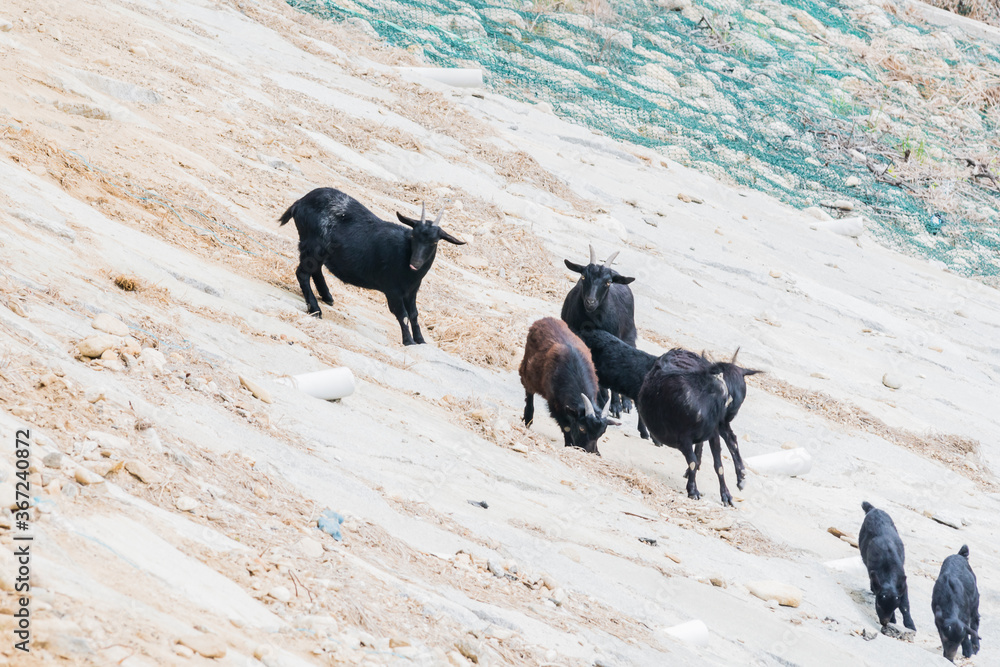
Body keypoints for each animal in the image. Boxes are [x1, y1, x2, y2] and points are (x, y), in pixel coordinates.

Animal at [279, 188, 465, 346]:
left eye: (434, 242)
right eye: (413, 235)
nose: (415, 263)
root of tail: (300, 203)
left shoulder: (411, 291)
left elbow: (414, 314)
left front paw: (420, 340)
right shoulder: (393, 289)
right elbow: (402, 314)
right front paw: (409, 341)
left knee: (315, 271)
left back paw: (327, 297)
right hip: (313, 246)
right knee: (302, 273)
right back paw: (316, 310)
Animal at [519, 318, 617, 455]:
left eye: (601, 433)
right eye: (582, 428)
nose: (587, 451)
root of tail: (545, 319)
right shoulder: (555, 404)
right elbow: (566, 426)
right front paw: (569, 444)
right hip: (527, 369)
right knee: (529, 391)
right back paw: (528, 419)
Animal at [561, 245, 637, 418]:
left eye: (608, 282)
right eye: (583, 277)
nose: (590, 301)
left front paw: (615, 406)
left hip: (629, 336)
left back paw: (624, 403)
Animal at [637, 348, 735, 505]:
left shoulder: (713, 435)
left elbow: (719, 466)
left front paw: (727, 496)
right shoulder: (683, 439)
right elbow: (693, 462)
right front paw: (693, 491)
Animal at [859, 501, 916, 631]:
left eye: (894, 607)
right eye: (878, 604)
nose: (885, 622)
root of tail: (874, 509)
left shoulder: (902, 583)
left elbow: (905, 605)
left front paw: (910, 625)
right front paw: (893, 620)